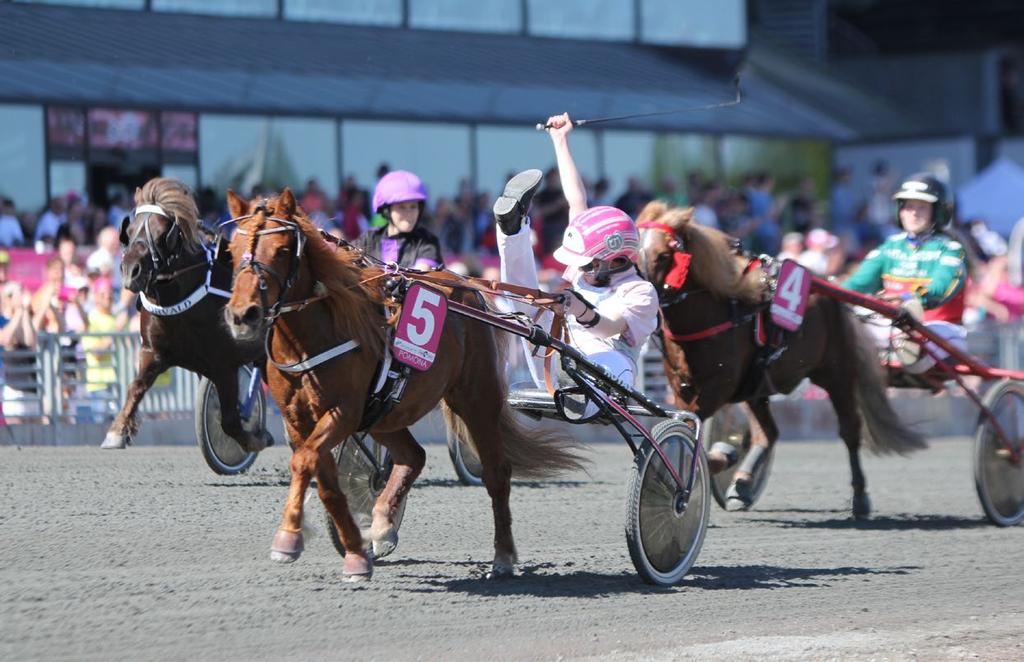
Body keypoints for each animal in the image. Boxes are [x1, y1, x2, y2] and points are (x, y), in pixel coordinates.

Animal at [104, 179, 268, 452]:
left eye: (162, 233)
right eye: (131, 230)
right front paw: (116, 431)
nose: (130, 270)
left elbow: (230, 421)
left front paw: (254, 439)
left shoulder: (224, 364)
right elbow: (135, 387)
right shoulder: (154, 353)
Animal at [222, 189, 585, 582]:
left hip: (475, 397)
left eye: (283, 249)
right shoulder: (297, 420)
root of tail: (465, 285)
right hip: (385, 414)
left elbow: (305, 462)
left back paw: (502, 555)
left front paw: (289, 538)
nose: (243, 314)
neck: (314, 335)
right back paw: (382, 525)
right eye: (231, 249)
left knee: (497, 472)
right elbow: (322, 475)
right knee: (413, 456)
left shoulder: (343, 412)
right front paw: (356, 551)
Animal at [634, 201, 925, 518]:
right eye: (633, 248)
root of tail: (827, 286)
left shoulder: (718, 387)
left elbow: (692, 434)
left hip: (836, 374)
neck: (716, 313)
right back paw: (742, 484)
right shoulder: (681, 387)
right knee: (768, 434)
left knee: (849, 431)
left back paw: (860, 497)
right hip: (755, 387)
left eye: (664, 255)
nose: (640, 291)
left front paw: (722, 456)